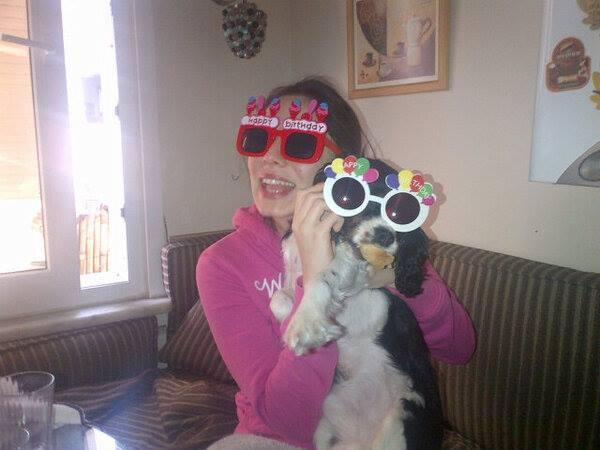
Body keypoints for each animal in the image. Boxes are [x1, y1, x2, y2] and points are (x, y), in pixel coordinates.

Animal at [270, 158, 443, 450]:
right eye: (351, 196)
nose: (385, 236)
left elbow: (319, 280)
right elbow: (279, 299)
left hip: (403, 415)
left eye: (401, 212)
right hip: (325, 430)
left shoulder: (350, 270)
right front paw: (291, 320)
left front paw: (306, 324)